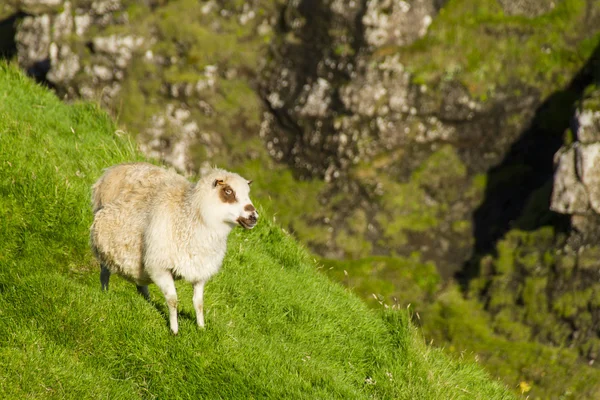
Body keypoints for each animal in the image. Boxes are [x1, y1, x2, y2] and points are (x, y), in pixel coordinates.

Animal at [89, 162, 258, 334]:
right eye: (228, 191)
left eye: (248, 193)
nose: (254, 216)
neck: (191, 215)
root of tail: (115, 169)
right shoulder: (159, 267)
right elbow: (172, 300)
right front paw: (174, 330)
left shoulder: (200, 270)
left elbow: (199, 303)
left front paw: (201, 327)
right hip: (103, 244)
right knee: (104, 271)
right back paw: (105, 293)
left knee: (141, 284)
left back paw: (146, 302)